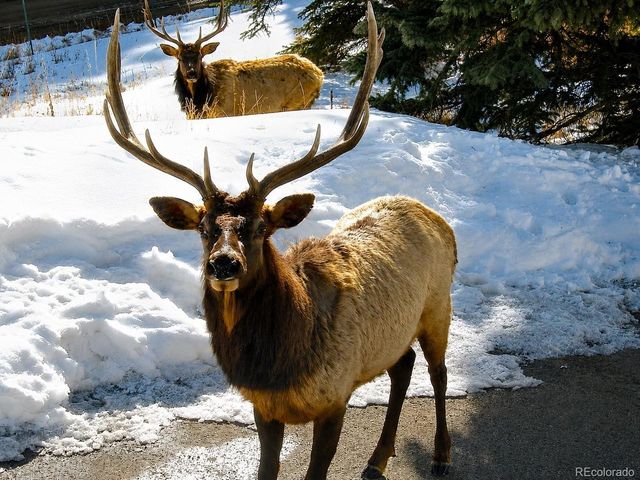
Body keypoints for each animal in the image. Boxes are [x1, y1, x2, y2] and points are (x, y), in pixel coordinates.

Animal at [144, 0, 324, 118]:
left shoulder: (226, 113)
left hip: (297, 103)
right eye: (180, 58)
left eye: (200, 56)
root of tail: (319, 74)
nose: (192, 73)